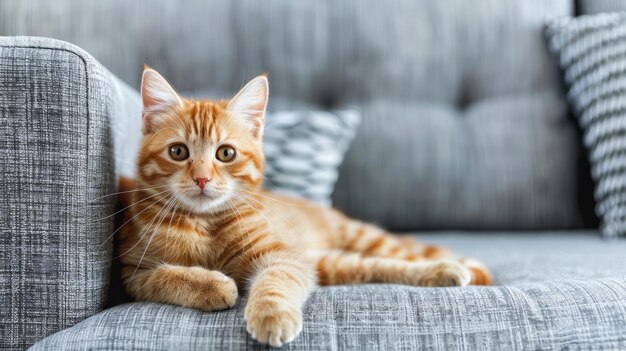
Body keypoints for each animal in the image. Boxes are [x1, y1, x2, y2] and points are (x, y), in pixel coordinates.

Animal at [117, 67, 488, 348]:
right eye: (178, 152)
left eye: (226, 153)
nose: (202, 179)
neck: (204, 222)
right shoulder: (132, 272)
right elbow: (167, 276)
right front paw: (214, 285)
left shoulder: (280, 255)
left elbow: (275, 280)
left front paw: (271, 314)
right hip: (328, 263)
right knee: (373, 266)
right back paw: (445, 271)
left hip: (354, 240)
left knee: (396, 255)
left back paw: (453, 268)